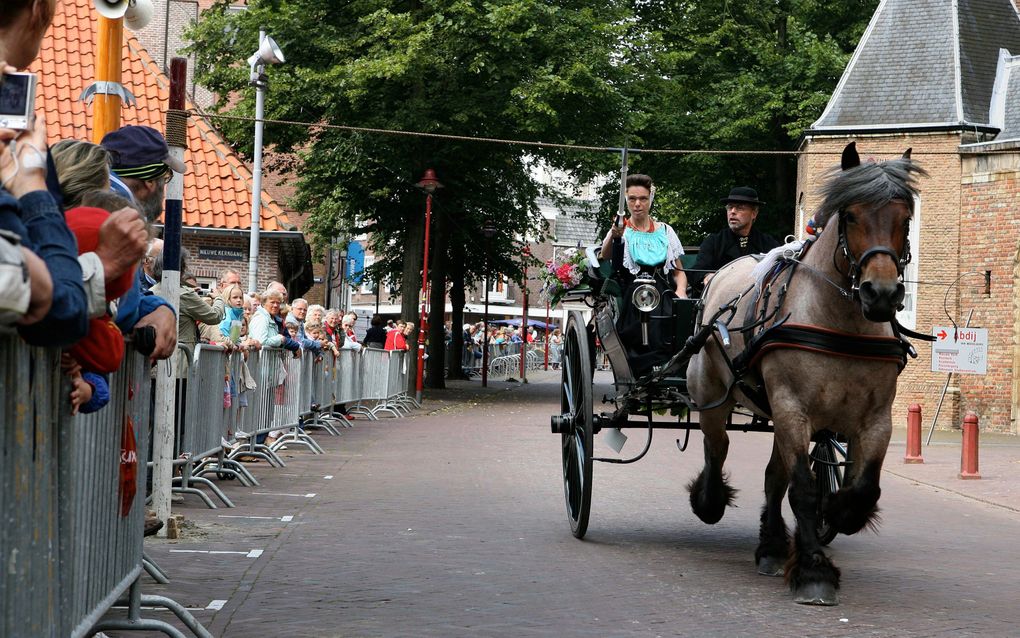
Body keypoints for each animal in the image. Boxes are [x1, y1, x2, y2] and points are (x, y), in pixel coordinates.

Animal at [685, 141, 926, 604]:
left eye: (906, 217)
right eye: (849, 215)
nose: (881, 294)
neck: (840, 322)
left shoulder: (875, 419)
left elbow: (862, 488)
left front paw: (835, 513)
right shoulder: (792, 407)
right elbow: (803, 487)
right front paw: (815, 571)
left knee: (771, 476)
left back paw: (773, 547)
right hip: (715, 399)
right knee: (717, 446)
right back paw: (709, 501)